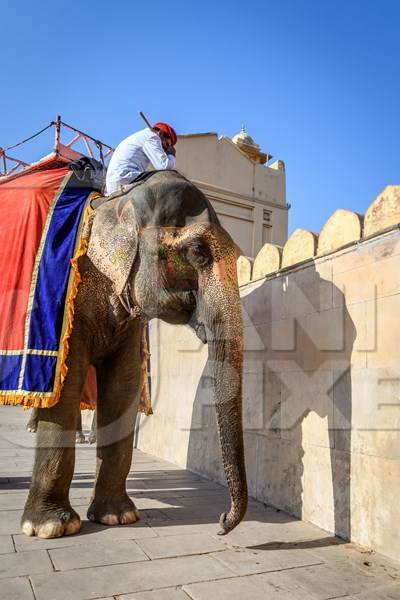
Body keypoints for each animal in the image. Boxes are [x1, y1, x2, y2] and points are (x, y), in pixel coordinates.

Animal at [21, 169, 248, 540]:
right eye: (198, 252)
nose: (220, 524)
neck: (117, 203)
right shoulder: (67, 302)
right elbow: (67, 385)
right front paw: (50, 528)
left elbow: (123, 384)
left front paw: (118, 517)